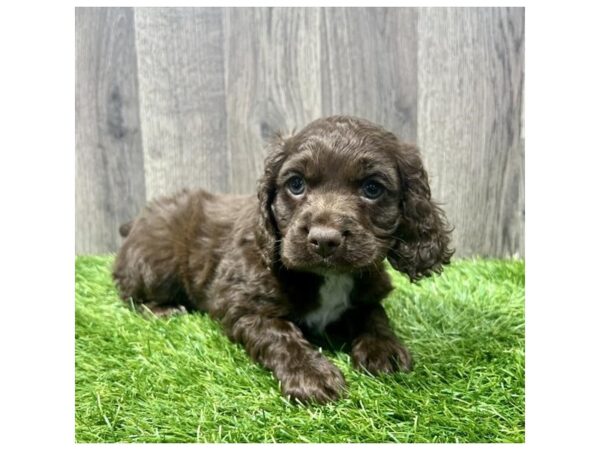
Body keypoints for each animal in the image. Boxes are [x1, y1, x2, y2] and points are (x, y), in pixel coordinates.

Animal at [112, 114, 452, 402]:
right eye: (296, 184)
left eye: (372, 188)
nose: (324, 239)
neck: (328, 278)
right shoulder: (245, 305)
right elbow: (280, 335)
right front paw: (312, 375)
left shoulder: (367, 289)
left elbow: (375, 315)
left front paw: (386, 350)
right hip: (157, 265)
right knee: (128, 292)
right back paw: (164, 311)